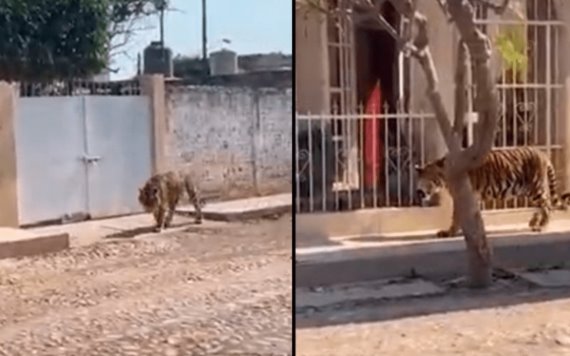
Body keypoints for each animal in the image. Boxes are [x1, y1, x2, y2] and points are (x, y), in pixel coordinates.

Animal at [412, 146, 568, 238]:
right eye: (423, 179)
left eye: (432, 180)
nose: (420, 192)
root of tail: (542, 152)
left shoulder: (463, 196)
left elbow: (457, 216)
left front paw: (450, 232)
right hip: (528, 190)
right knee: (540, 205)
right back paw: (534, 222)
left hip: (535, 187)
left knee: (547, 205)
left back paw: (542, 226)